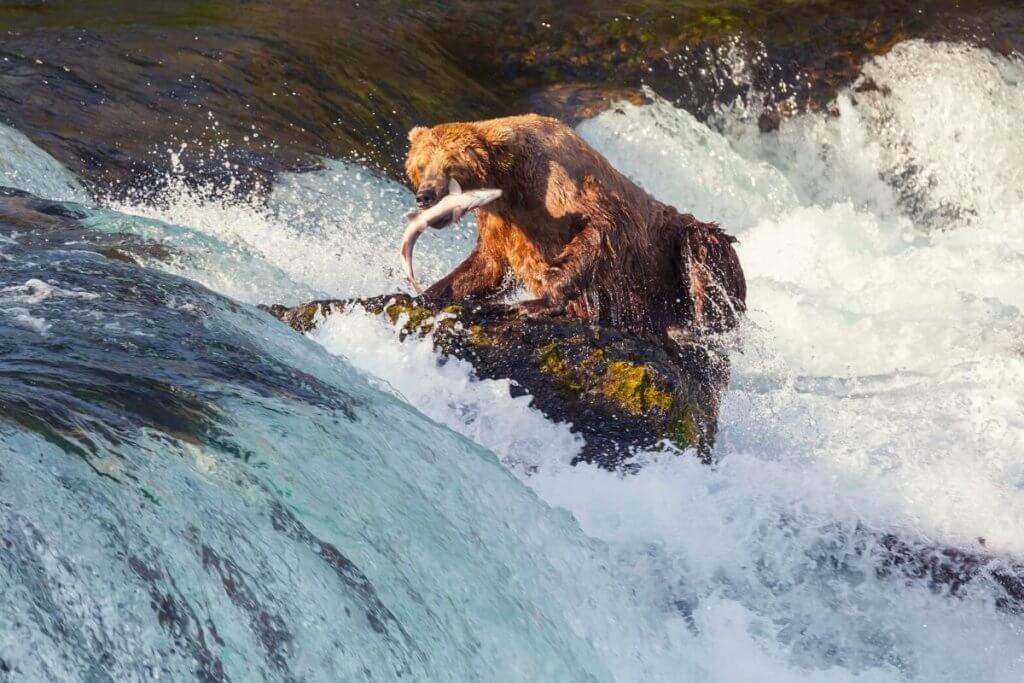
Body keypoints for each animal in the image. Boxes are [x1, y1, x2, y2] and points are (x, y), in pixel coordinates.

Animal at [405, 114, 746, 336]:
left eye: (450, 165)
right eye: (421, 166)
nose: (425, 196)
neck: (509, 181)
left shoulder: (560, 185)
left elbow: (601, 229)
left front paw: (536, 303)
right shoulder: (500, 220)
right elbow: (487, 266)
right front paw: (428, 293)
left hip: (675, 252)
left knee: (704, 248)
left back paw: (690, 326)